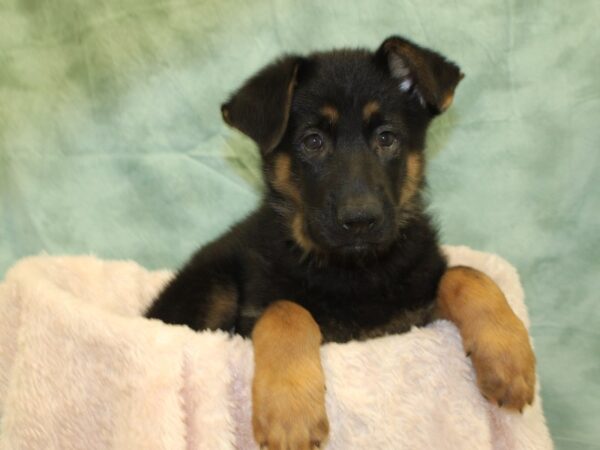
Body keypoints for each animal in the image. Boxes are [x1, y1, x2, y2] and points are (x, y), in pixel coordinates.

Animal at [146, 36, 536, 450]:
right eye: (313, 141)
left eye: (386, 138)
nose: (360, 220)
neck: (352, 269)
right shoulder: (252, 315)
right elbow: (287, 310)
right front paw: (290, 412)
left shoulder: (413, 316)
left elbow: (466, 274)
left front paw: (509, 358)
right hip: (214, 285)